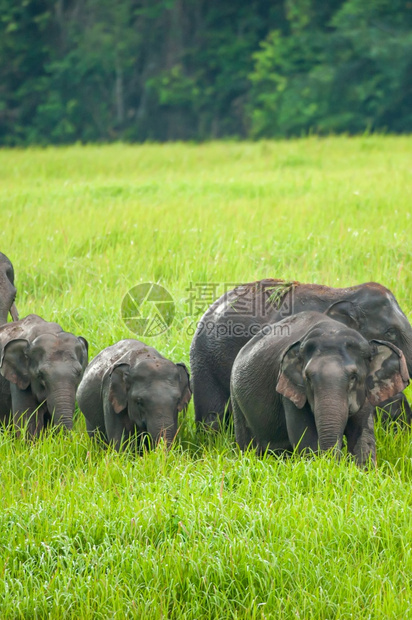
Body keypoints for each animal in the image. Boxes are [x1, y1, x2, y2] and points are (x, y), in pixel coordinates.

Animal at [230, 310, 410, 464]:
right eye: (308, 378)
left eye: (353, 377)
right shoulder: (290, 393)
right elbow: (306, 439)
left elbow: (362, 436)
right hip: (236, 400)